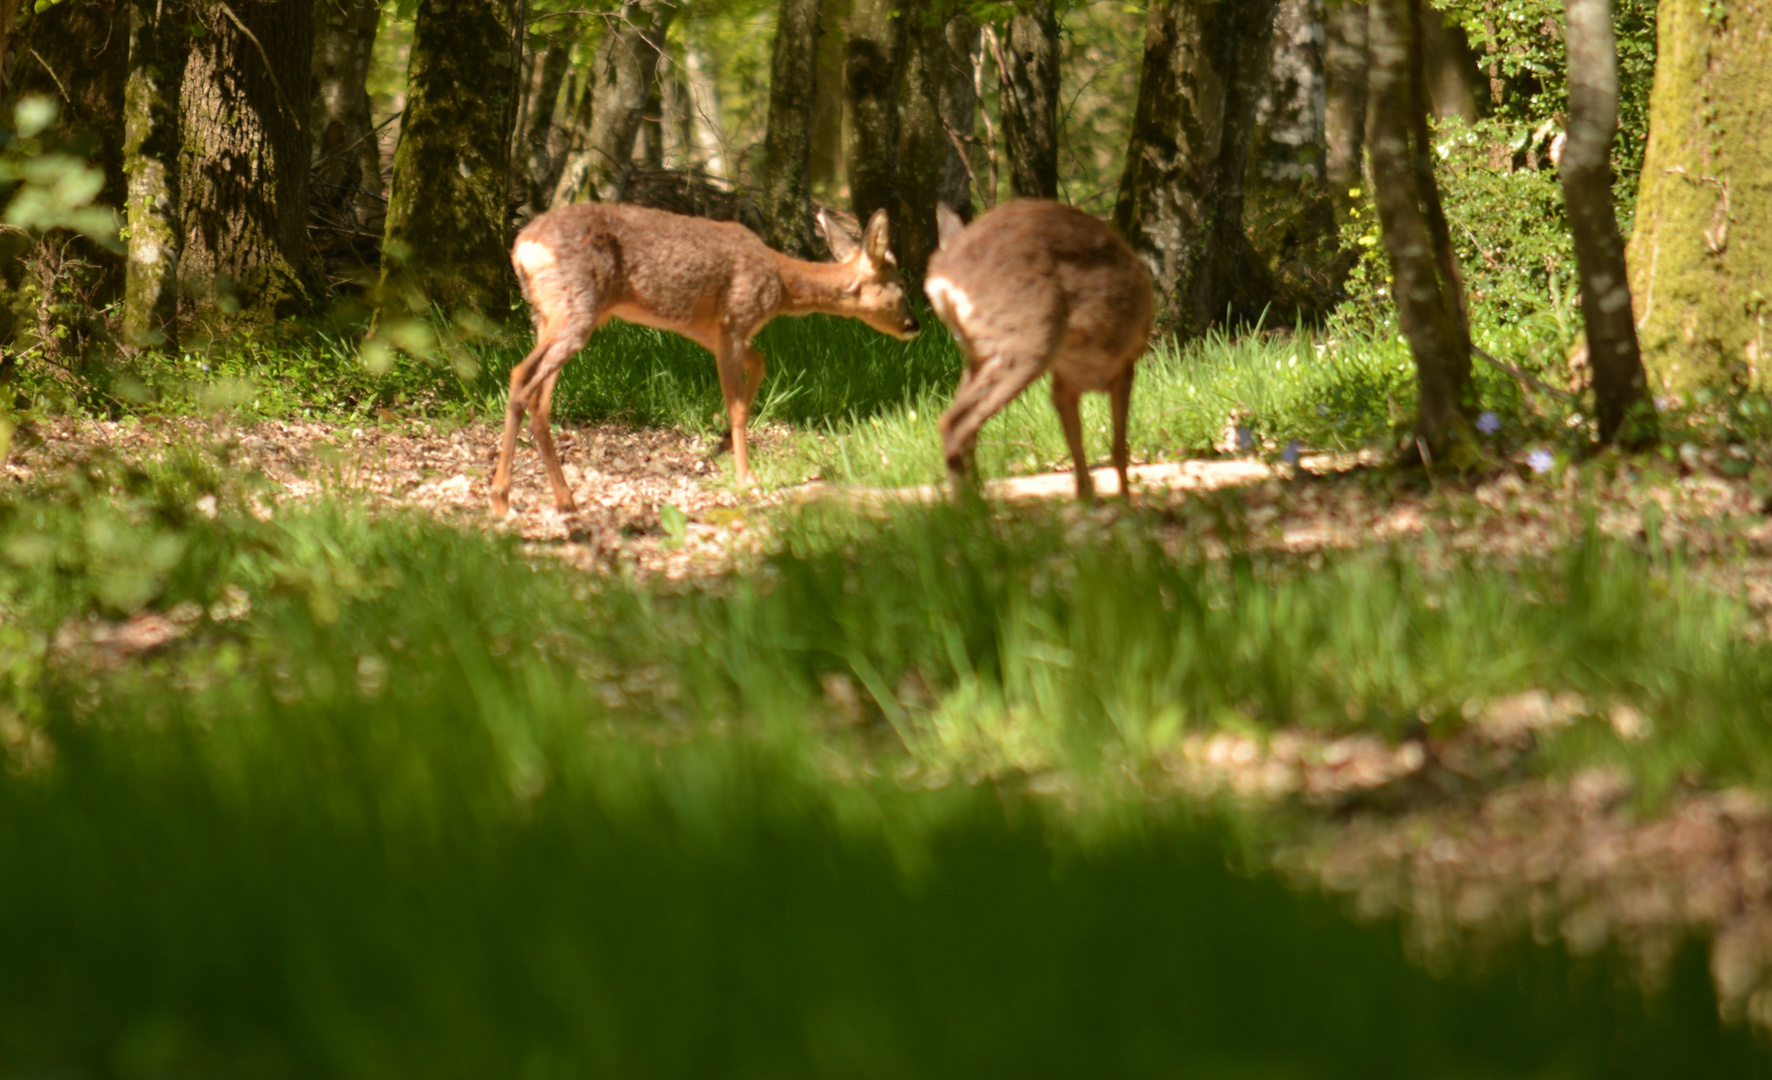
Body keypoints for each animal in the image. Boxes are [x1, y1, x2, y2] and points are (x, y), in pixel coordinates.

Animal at [492, 207, 921, 521]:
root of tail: (521, 247)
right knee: (520, 376)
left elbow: (761, 364)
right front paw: (746, 477)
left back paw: (564, 499)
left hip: (550, 315)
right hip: (575, 308)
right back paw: (501, 497)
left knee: (539, 397)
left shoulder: (709, 331)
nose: (914, 325)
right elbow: (736, 405)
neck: (780, 284)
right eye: (901, 285)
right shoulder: (735, 318)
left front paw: (720, 446)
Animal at [921, 198, 1155, 500]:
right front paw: (1125, 502)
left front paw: (1087, 500)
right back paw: (972, 508)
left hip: (978, 355)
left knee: (966, 428)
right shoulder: (1123, 367)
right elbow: (1118, 447)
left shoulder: (1064, 385)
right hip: (1027, 342)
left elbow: (1077, 446)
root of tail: (941, 274)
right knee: (955, 423)